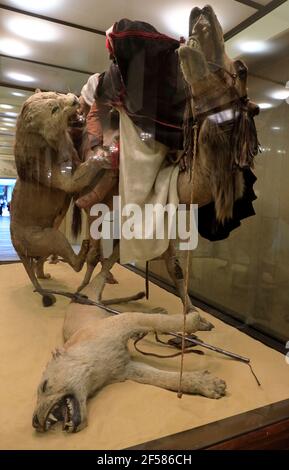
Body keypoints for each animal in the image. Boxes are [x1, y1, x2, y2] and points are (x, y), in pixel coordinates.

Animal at [32, 276, 224, 434]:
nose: (35, 423)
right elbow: (162, 378)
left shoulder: (125, 321)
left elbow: (163, 322)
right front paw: (209, 384)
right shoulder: (127, 368)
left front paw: (196, 320)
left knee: (102, 273)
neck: (94, 365)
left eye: (44, 386)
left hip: (95, 291)